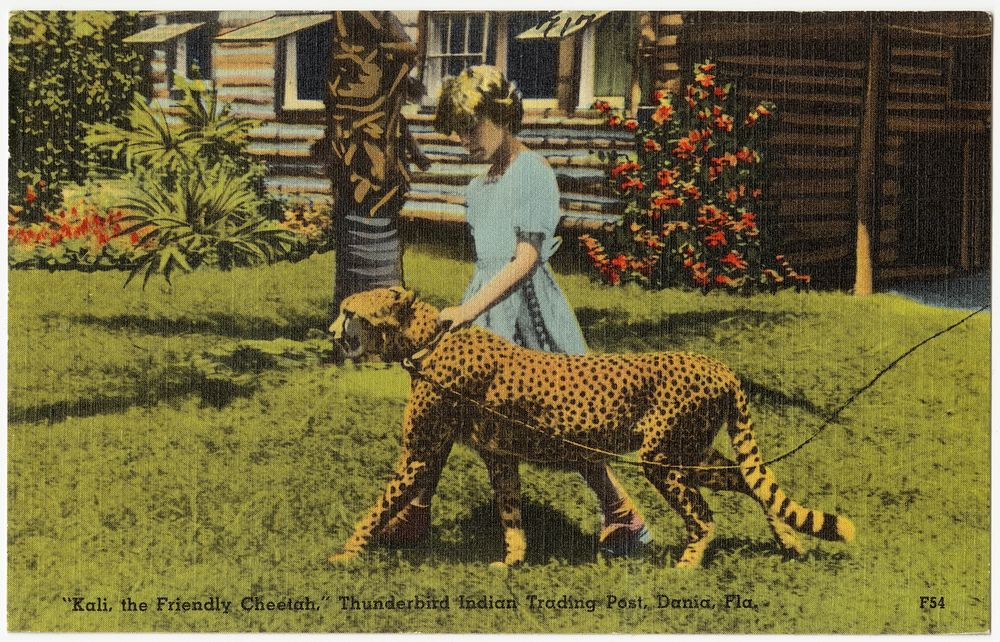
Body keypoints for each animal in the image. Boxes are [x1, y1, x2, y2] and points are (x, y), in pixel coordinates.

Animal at [326, 288, 852, 568]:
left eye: (350, 313)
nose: (330, 333)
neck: (427, 340)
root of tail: (718, 365)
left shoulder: (420, 453)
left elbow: (376, 508)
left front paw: (344, 555)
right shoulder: (498, 456)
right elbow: (510, 512)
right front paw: (513, 561)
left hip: (662, 459)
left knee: (704, 515)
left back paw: (685, 568)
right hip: (691, 453)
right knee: (749, 479)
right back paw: (788, 541)